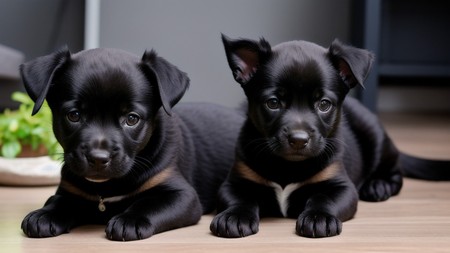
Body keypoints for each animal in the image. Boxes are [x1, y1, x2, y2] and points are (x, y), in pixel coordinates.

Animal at [20, 46, 246, 241]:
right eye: (73, 115)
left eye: (131, 119)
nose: (98, 159)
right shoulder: (69, 189)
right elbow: (58, 201)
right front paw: (44, 214)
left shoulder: (183, 195)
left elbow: (149, 204)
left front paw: (130, 220)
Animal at [211, 35, 450, 239]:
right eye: (273, 103)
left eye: (324, 104)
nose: (299, 140)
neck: (288, 166)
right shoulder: (234, 182)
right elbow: (239, 199)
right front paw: (234, 216)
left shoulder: (341, 186)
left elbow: (324, 198)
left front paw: (319, 218)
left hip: (376, 136)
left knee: (396, 174)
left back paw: (377, 186)